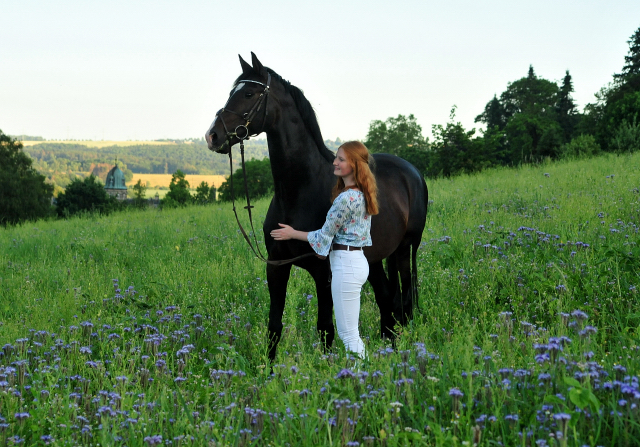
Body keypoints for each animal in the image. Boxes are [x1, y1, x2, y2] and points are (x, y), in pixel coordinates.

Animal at [208, 53, 428, 360]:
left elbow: (325, 328)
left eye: (248, 93)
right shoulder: (276, 266)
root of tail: (412, 172)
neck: (299, 190)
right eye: (232, 92)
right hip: (372, 259)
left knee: (403, 302)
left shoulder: (324, 272)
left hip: (405, 249)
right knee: (387, 301)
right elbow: (274, 326)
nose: (213, 136)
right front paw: (268, 369)